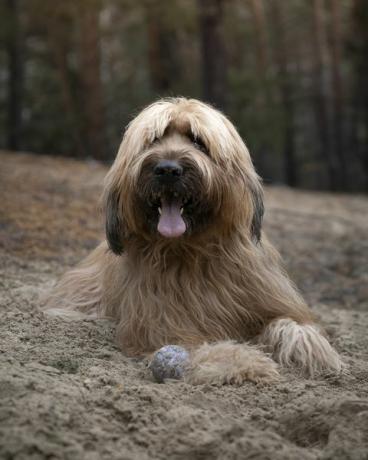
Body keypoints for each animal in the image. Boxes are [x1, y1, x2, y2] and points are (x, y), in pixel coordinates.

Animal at [45, 97, 342, 384]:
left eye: (199, 141)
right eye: (153, 140)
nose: (167, 170)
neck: (192, 252)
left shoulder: (267, 298)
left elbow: (291, 323)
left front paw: (314, 350)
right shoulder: (162, 324)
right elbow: (196, 347)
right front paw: (242, 362)